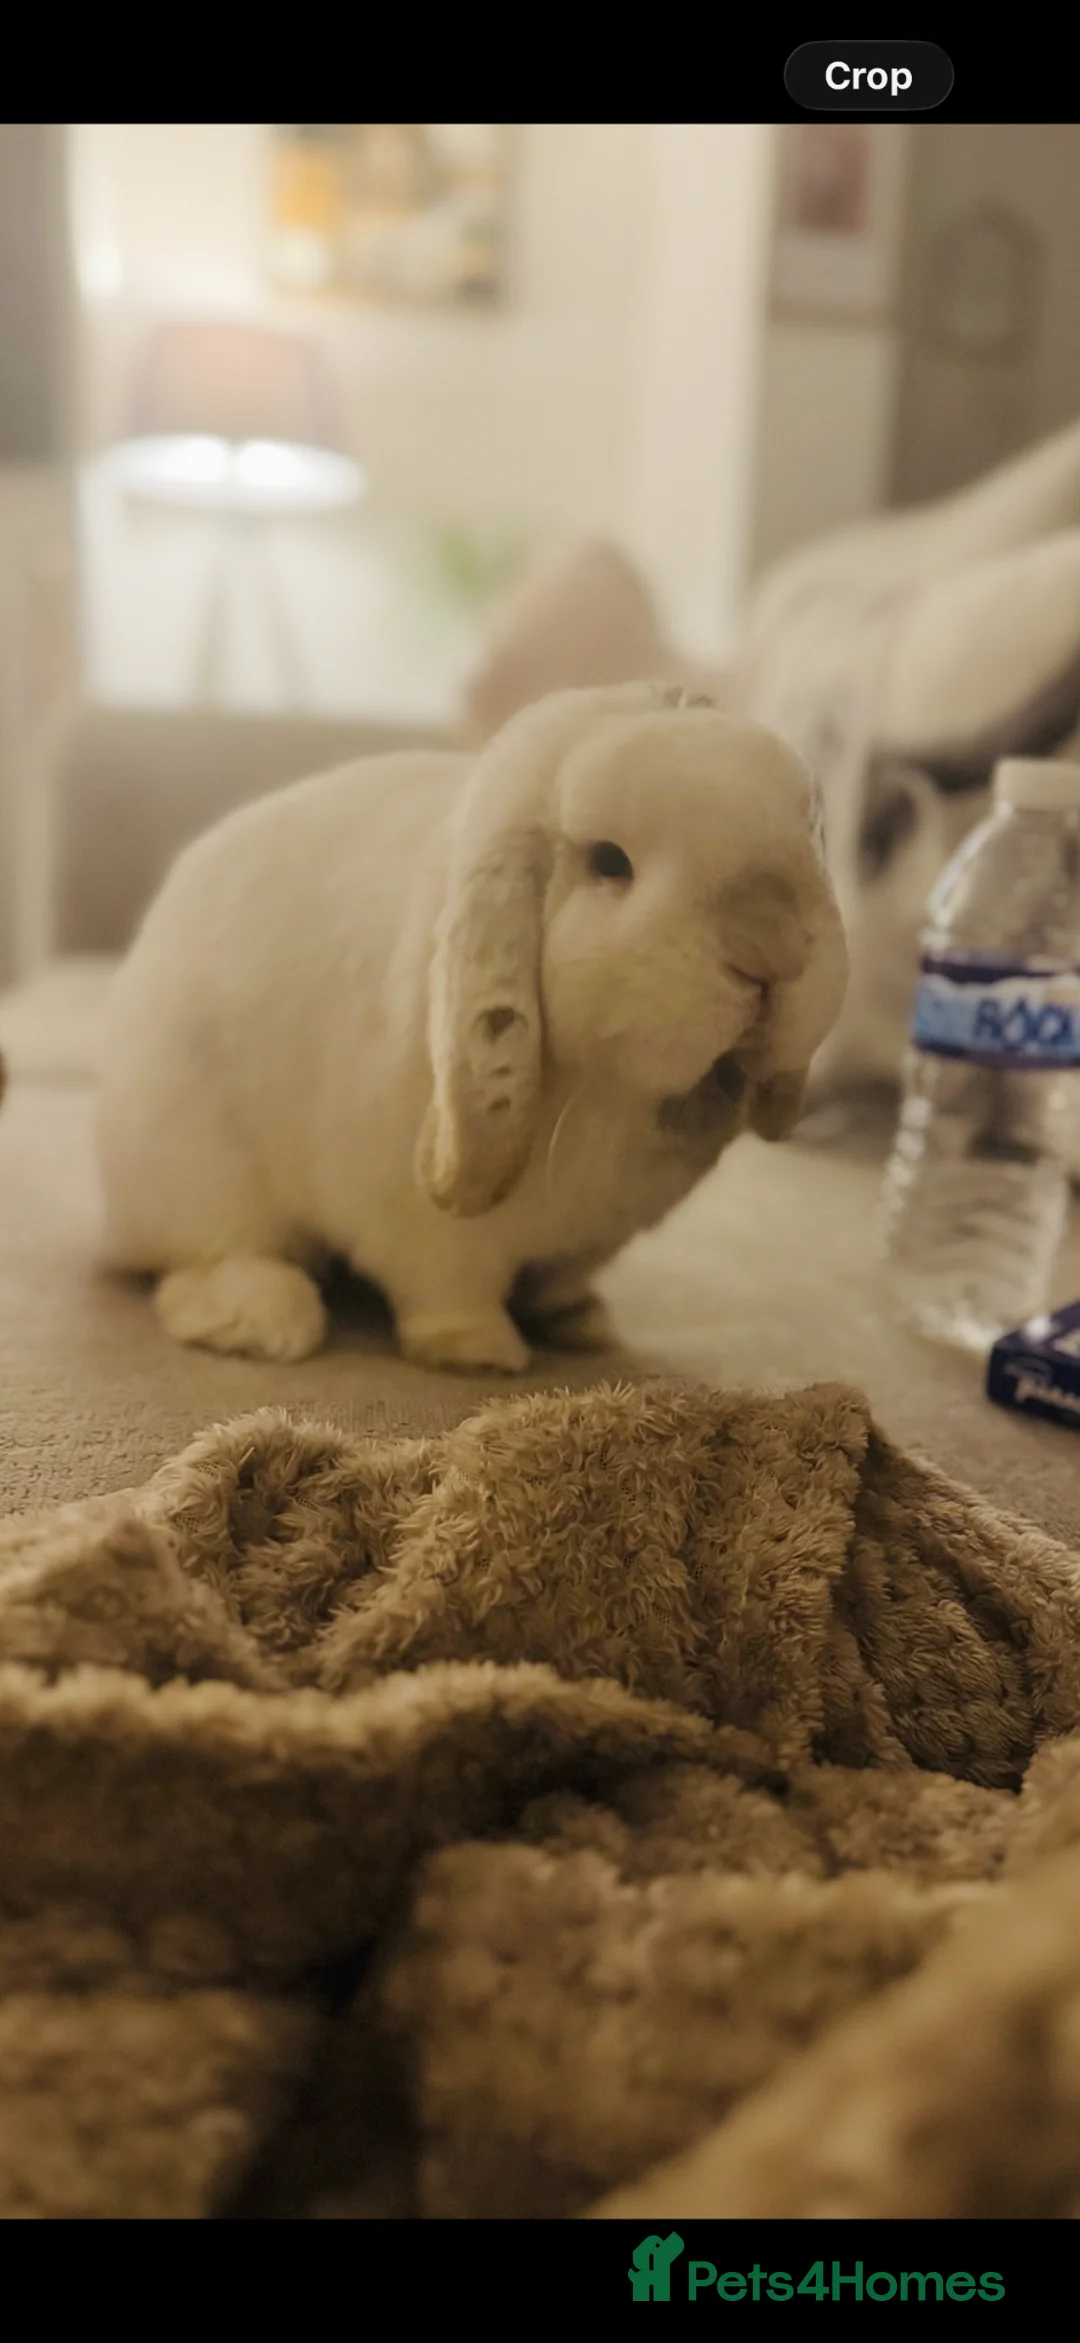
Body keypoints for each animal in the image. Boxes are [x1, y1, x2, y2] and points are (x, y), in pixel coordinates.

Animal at [94, 682, 848, 1374]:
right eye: (609, 860)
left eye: (812, 834)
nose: (774, 949)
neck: (611, 1094)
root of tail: (110, 1217)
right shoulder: (426, 1230)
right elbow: (448, 1283)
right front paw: (478, 1351)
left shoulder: (593, 1237)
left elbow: (562, 1277)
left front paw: (582, 1324)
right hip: (196, 1165)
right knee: (204, 1254)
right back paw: (266, 1319)